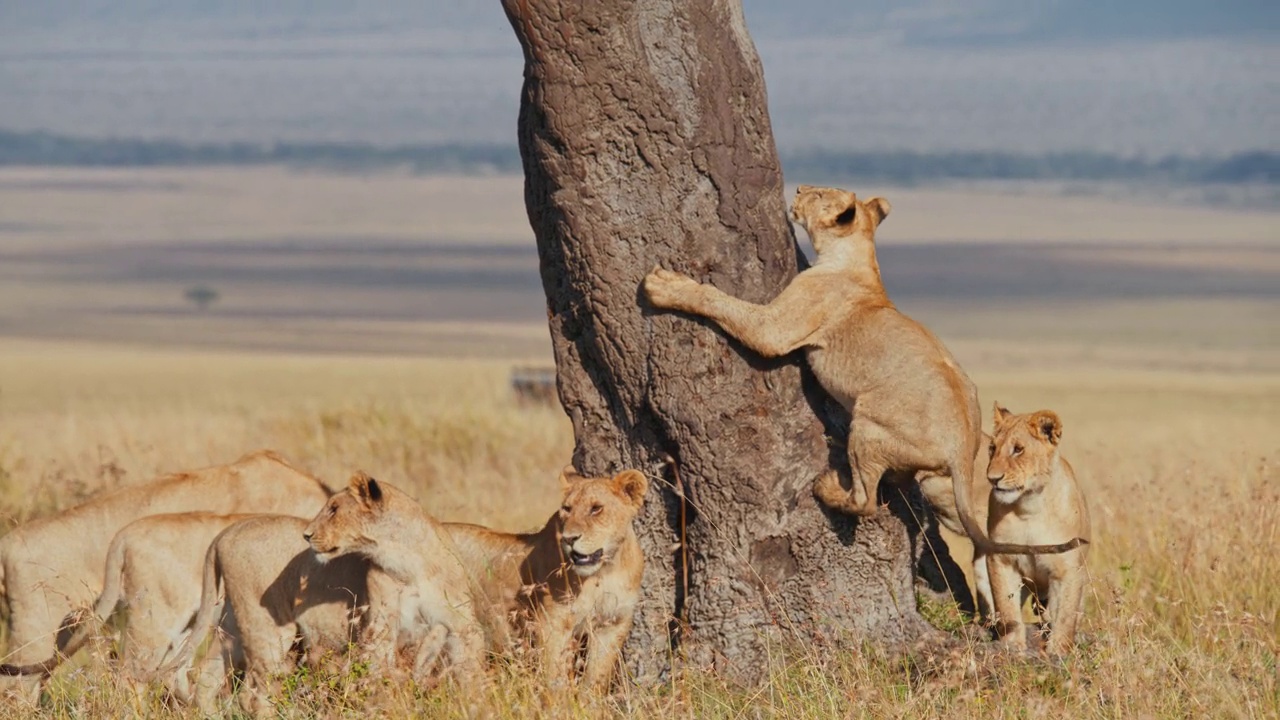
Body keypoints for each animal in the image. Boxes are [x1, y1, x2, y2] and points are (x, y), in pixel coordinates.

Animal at [442, 466, 645, 691]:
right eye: (567, 508)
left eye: (596, 509)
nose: (568, 539)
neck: (605, 572)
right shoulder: (552, 623)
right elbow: (555, 678)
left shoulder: (613, 623)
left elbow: (596, 679)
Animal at [645, 183, 1085, 556]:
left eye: (819, 193)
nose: (799, 188)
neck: (857, 257)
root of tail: (964, 448)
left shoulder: (776, 328)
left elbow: (721, 302)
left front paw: (664, 286)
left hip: (869, 423)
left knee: (866, 501)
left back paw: (828, 487)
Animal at [983, 399, 1095, 653]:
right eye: (992, 448)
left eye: (1018, 449)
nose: (992, 478)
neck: (1029, 508)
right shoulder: (1001, 558)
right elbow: (1006, 607)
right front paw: (1013, 647)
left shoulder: (1068, 568)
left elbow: (1065, 616)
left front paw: (1058, 652)